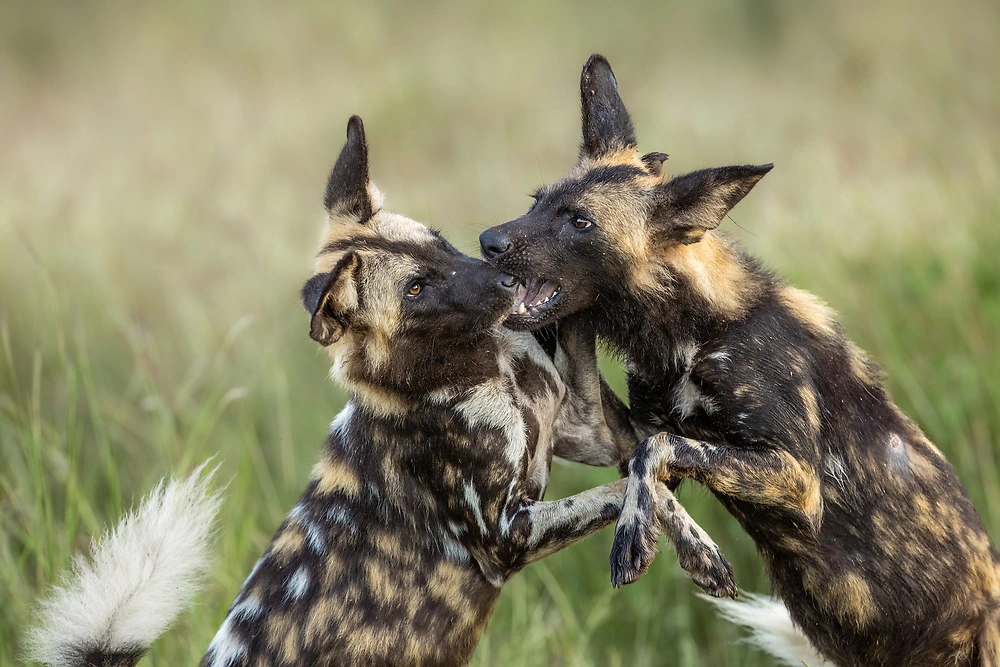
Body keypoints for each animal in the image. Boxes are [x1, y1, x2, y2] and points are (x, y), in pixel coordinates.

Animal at [29, 117, 736, 667]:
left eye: (442, 243)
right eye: (417, 289)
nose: (504, 273)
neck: (478, 369)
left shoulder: (585, 431)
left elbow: (641, 472)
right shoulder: (506, 539)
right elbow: (620, 492)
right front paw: (690, 551)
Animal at [482, 54, 1000, 664]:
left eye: (579, 221)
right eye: (535, 202)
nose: (488, 241)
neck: (695, 331)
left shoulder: (794, 478)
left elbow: (659, 452)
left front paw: (635, 544)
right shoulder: (609, 434)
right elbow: (645, 464)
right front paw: (693, 552)